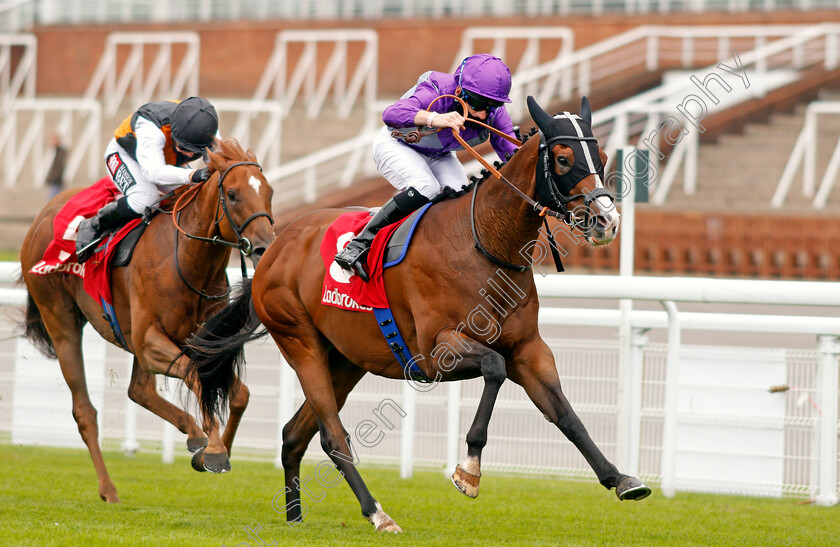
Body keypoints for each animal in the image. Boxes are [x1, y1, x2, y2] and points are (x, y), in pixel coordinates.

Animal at [18, 139, 276, 504]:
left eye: (269, 192)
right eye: (234, 194)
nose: (266, 247)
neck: (185, 259)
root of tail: (41, 216)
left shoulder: (191, 340)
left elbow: (239, 393)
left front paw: (212, 448)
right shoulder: (150, 341)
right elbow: (197, 375)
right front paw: (214, 451)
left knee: (139, 390)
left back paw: (192, 434)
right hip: (61, 321)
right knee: (85, 410)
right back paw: (109, 490)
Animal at [187, 97, 652, 532]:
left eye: (603, 156)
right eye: (563, 158)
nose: (606, 221)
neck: (484, 241)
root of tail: (275, 248)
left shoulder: (529, 348)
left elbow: (565, 414)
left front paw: (620, 478)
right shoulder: (435, 353)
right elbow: (494, 367)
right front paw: (469, 470)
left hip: (346, 359)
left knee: (294, 434)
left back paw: (296, 516)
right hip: (300, 342)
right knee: (332, 433)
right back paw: (377, 513)